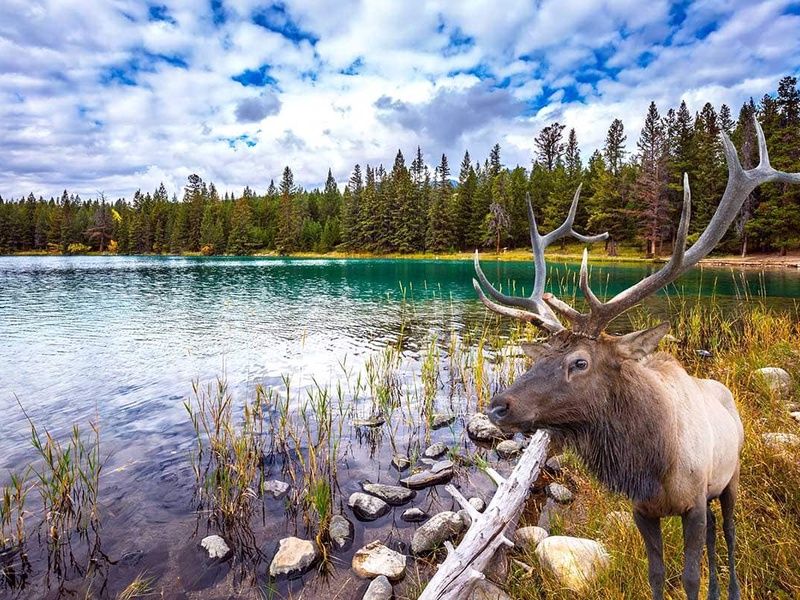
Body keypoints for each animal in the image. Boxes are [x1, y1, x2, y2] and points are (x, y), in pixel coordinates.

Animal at [476, 118, 800, 600]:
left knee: (727, 532)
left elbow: (689, 576)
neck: (651, 465)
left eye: (580, 362)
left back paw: (732, 588)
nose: (499, 406)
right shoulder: (641, 509)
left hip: (732, 477)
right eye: (542, 355)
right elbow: (656, 574)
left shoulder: (694, 501)